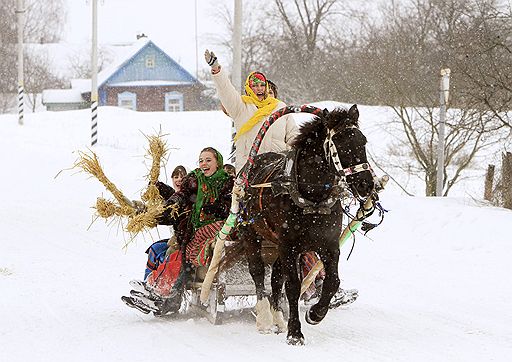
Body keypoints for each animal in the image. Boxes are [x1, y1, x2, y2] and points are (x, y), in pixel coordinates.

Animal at [238, 104, 374, 346]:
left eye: (362, 141)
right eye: (340, 143)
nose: (365, 184)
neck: (313, 198)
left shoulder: (328, 245)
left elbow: (332, 281)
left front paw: (315, 313)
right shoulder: (289, 245)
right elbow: (293, 286)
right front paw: (295, 332)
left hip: (278, 245)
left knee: (276, 278)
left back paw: (277, 317)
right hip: (250, 233)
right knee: (258, 272)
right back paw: (264, 317)